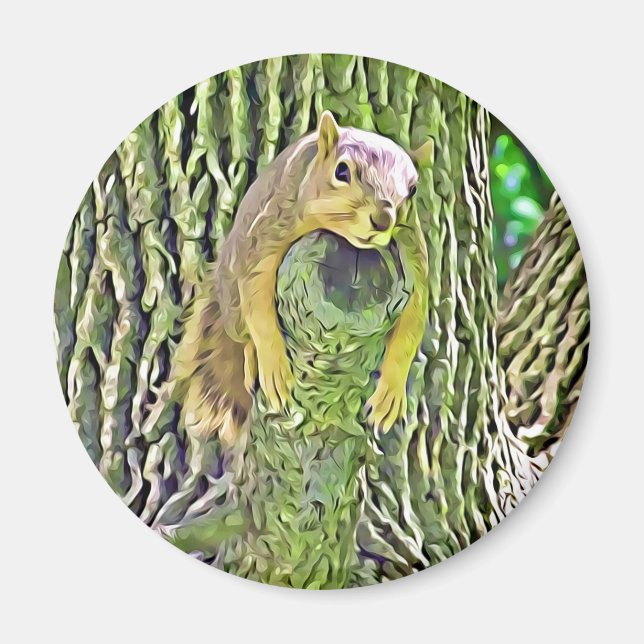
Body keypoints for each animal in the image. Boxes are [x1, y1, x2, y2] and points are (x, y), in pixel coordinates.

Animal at [171, 111, 430, 463]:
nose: (383, 218)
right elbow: (257, 299)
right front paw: (273, 365)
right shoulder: (272, 227)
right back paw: (250, 354)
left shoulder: (412, 251)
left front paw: (391, 390)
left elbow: (412, 325)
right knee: (241, 329)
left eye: (413, 189)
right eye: (342, 171)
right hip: (232, 300)